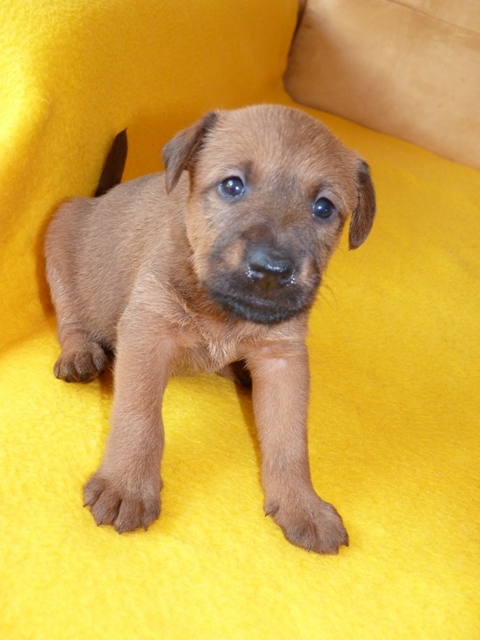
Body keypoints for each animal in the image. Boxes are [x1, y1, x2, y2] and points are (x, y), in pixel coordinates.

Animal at [44, 104, 375, 554]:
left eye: (324, 208)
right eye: (232, 185)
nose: (271, 270)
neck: (224, 313)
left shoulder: (283, 358)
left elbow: (289, 441)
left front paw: (302, 505)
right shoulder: (148, 331)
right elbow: (139, 418)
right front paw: (127, 486)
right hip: (59, 237)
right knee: (71, 320)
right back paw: (80, 354)